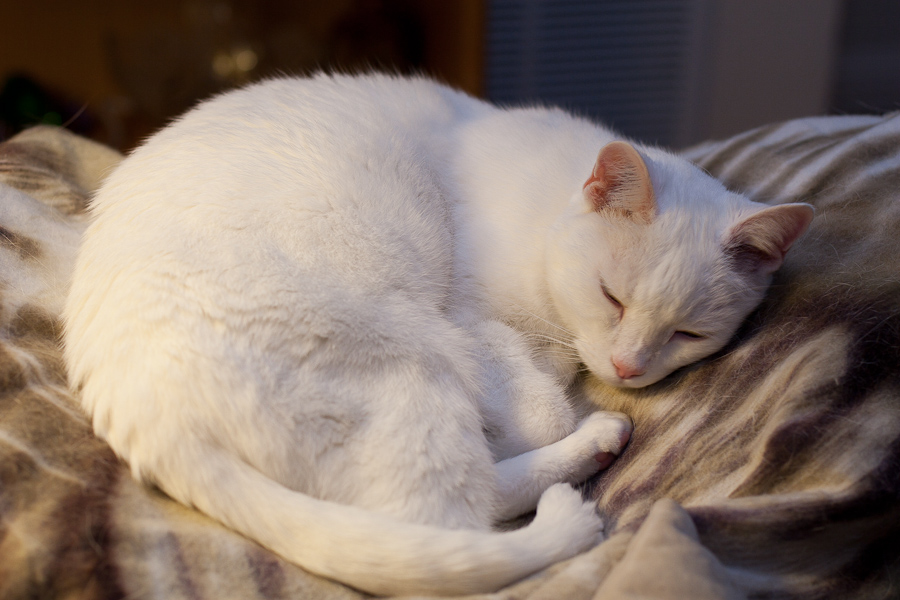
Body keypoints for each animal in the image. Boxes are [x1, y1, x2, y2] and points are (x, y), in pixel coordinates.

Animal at [59, 74, 812, 596]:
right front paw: (543, 414)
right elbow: (540, 408)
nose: (628, 368)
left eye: (688, 333)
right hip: (415, 359)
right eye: (611, 296)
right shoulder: (471, 322)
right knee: (455, 528)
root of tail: (141, 412)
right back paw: (589, 455)